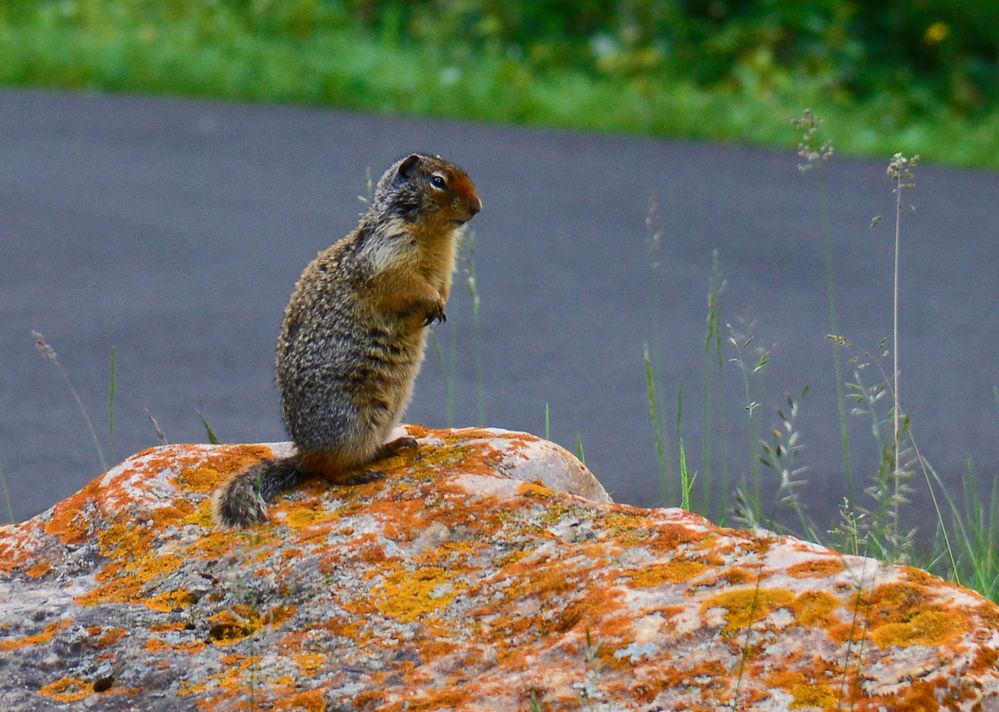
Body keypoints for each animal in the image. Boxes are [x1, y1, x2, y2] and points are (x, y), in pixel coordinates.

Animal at [215, 153, 481, 527]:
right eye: (438, 181)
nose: (477, 207)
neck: (435, 237)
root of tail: (305, 452)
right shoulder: (388, 254)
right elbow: (407, 284)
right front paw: (432, 304)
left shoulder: (445, 267)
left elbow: (443, 286)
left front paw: (440, 304)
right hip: (351, 419)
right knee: (328, 469)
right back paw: (357, 474)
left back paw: (397, 446)